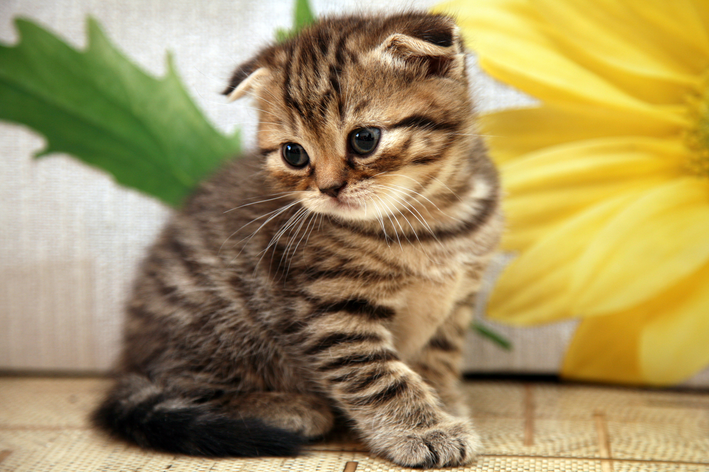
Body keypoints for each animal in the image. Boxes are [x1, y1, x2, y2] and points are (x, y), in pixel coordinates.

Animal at [92, 11, 504, 468]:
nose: (329, 188)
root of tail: (131, 360)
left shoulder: (456, 302)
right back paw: (287, 407)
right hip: (221, 327)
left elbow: (440, 359)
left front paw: (446, 402)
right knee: (185, 387)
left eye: (364, 139)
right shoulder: (333, 312)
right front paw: (424, 430)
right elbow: (380, 377)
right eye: (294, 154)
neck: (430, 224)